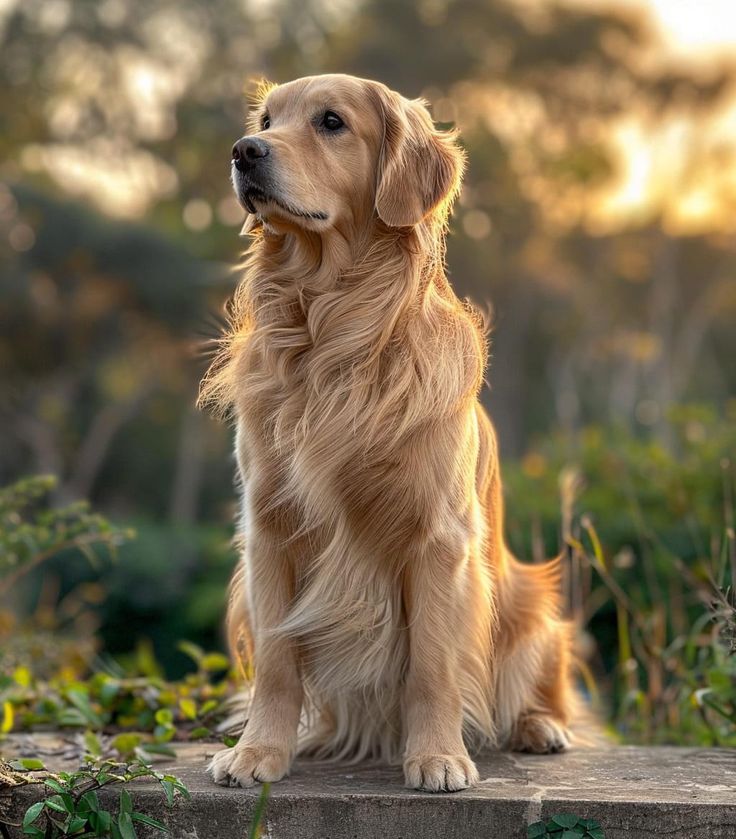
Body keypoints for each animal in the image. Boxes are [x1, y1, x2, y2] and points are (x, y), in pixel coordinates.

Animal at [201, 72, 580, 796]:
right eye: (266, 120)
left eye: (330, 122)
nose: (242, 151)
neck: (333, 332)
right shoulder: (268, 528)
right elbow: (278, 661)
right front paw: (260, 751)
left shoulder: (439, 538)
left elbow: (432, 664)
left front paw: (436, 757)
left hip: (531, 604)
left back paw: (538, 726)